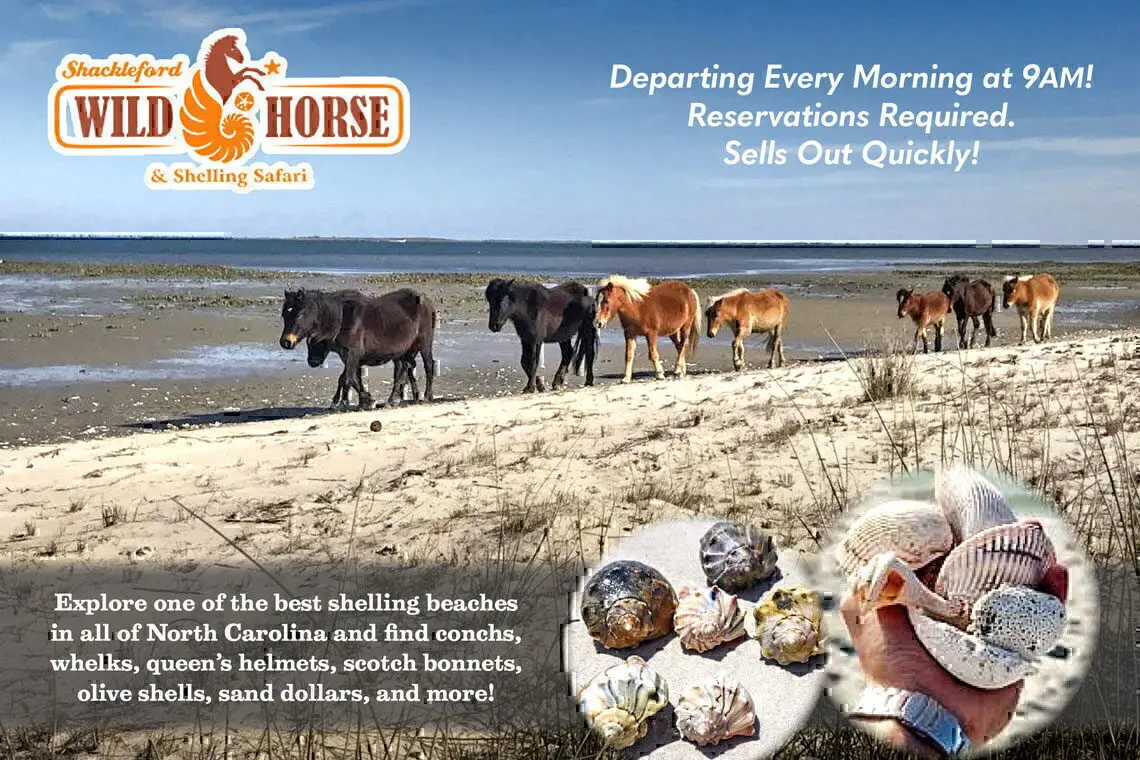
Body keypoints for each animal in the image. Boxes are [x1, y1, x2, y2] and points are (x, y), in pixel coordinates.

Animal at [279, 288, 436, 410]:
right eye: (284, 314)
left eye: (299, 314)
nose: (285, 342)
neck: (342, 318)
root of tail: (427, 301)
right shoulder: (349, 357)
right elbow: (353, 378)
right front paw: (366, 401)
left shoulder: (353, 354)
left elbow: (348, 378)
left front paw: (344, 403)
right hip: (407, 351)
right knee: (405, 369)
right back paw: (395, 399)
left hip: (424, 344)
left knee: (428, 365)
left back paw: (426, 396)